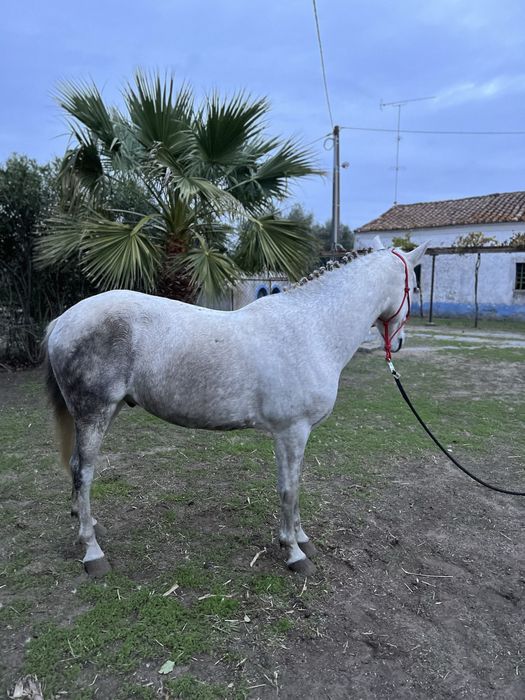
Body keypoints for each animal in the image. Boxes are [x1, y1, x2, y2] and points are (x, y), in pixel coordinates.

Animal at [43, 241, 428, 577]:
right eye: (414, 288)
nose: (400, 342)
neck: (311, 328)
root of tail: (62, 321)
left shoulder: (295, 435)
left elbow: (296, 487)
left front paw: (302, 539)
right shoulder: (292, 432)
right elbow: (289, 489)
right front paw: (294, 553)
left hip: (107, 412)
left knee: (77, 468)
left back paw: (90, 525)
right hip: (93, 413)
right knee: (84, 473)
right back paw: (93, 552)